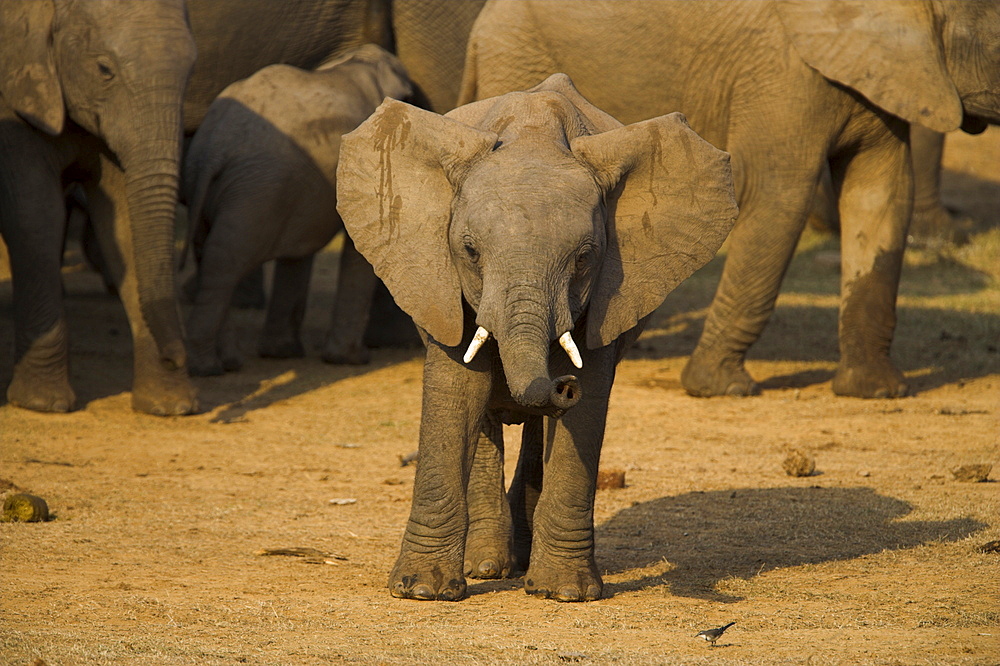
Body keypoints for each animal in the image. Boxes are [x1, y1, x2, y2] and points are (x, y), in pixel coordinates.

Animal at [182, 42, 412, 374]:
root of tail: (213, 147)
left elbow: (298, 250)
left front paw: (282, 353)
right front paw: (352, 360)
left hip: (221, 185)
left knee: (208, 256)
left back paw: (226, 361)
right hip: (256, 191)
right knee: (224, 260)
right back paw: (209, 367)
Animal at [340, 74, 740, 600]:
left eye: (585, 258)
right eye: (469, 250)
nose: (561, 386)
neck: (534, 137)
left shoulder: (608, 293)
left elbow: (587, 404)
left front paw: (564, 592)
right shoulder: (439, 281)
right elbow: (458, 388)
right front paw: (420, 590)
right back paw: (487, 565)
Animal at [462, 0, 1000, 394]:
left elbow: (881, 194)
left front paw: (877, 391)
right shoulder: (783, 75)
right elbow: (780, 194)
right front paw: (720, 388)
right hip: (519, 60)